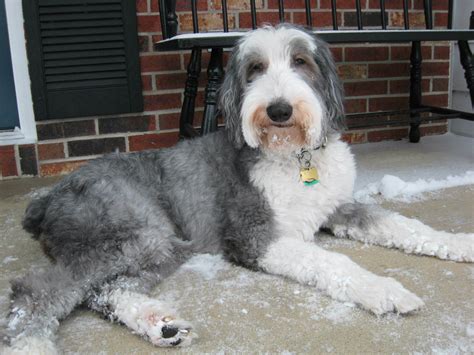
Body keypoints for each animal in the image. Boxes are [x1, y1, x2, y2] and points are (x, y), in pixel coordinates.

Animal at [3, 24, 474, 354]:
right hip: (131, 234)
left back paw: (160, 325)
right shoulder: (254, 236)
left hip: (158, 247)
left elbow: (403, 225)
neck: (294, 156)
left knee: (103, 291)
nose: (279, 109)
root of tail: (48, 197)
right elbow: (332, 262)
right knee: (39, 290)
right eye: (255, 69)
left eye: (300, 61)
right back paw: (30, 343)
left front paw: (461, 243)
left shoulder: (338, 207)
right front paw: (384, 290)